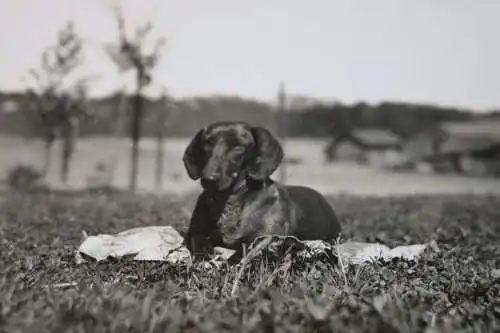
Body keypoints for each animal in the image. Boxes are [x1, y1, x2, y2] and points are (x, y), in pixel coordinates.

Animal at [182, 120, 342, 260]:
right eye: (208, 143)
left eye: (237, 146)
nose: (208, 179)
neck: (229, 202)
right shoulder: (195, 231)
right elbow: (198, 239)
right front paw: (204, 253)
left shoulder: (266, 237)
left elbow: (244, 251)